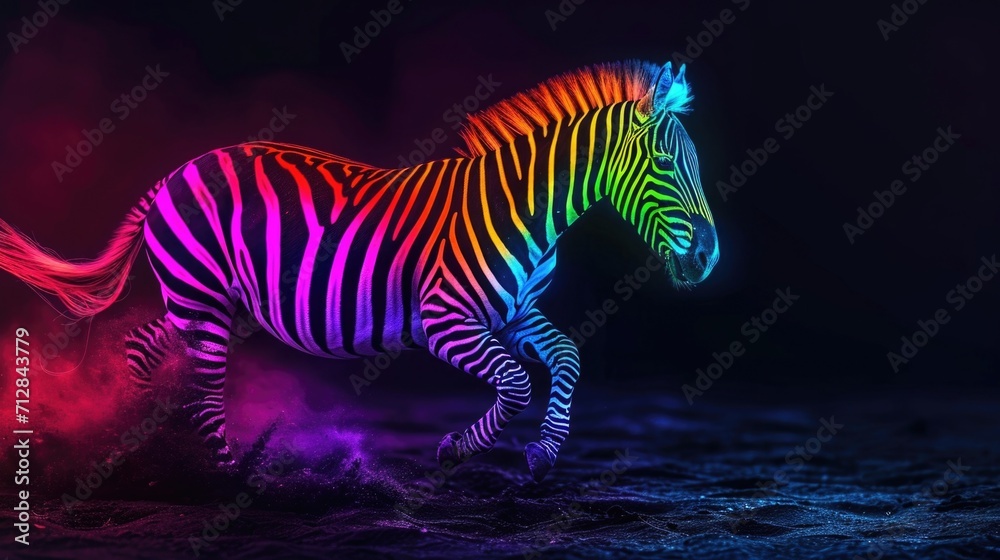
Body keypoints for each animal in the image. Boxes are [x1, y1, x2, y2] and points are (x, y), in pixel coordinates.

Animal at [0, 60, 718, 481]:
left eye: (696, 164)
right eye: (664, 165)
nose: (709, 257)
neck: (525, 210)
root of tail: (180, 169)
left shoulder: (517, 312)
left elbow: (566, 356)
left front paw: (544, 451)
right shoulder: (445, 320)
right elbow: (516, 384)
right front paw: (457, 448)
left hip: (212, 302)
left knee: (145, 348)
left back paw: (141, 441)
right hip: (201, 297)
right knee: (202, 391)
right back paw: (227, 481)